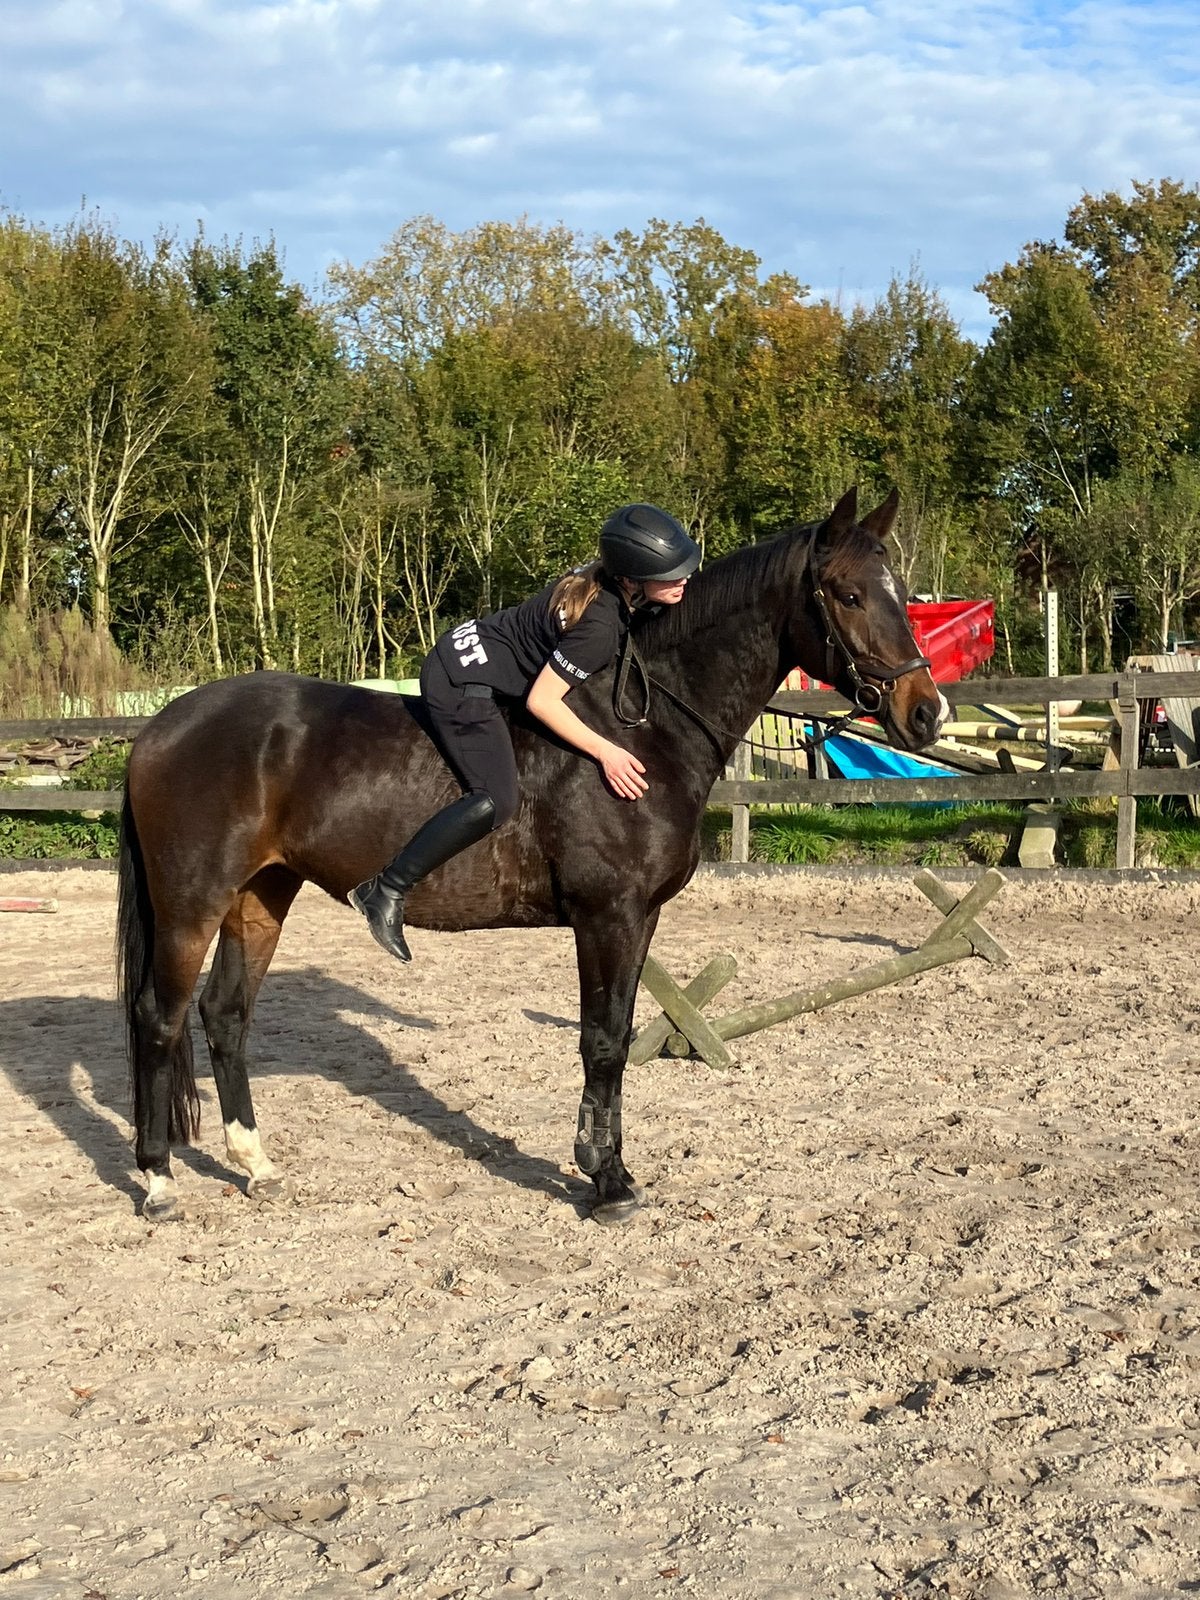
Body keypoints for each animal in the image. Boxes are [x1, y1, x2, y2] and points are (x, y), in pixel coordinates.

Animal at [117, 486, 946, 1223]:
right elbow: (602, 1042)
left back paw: (255, 1165)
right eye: (847, 594)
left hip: (261, 894)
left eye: (899, 594)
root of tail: (163, 725)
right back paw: (158, 1181)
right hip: (191, 904)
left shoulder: (638, 920)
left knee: (226, 1017)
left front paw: (611, 1167)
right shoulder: (606, 916)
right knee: (160, 1018)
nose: (926, 713)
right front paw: (605, 1182)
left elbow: (615, 1037)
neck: (637, 730)